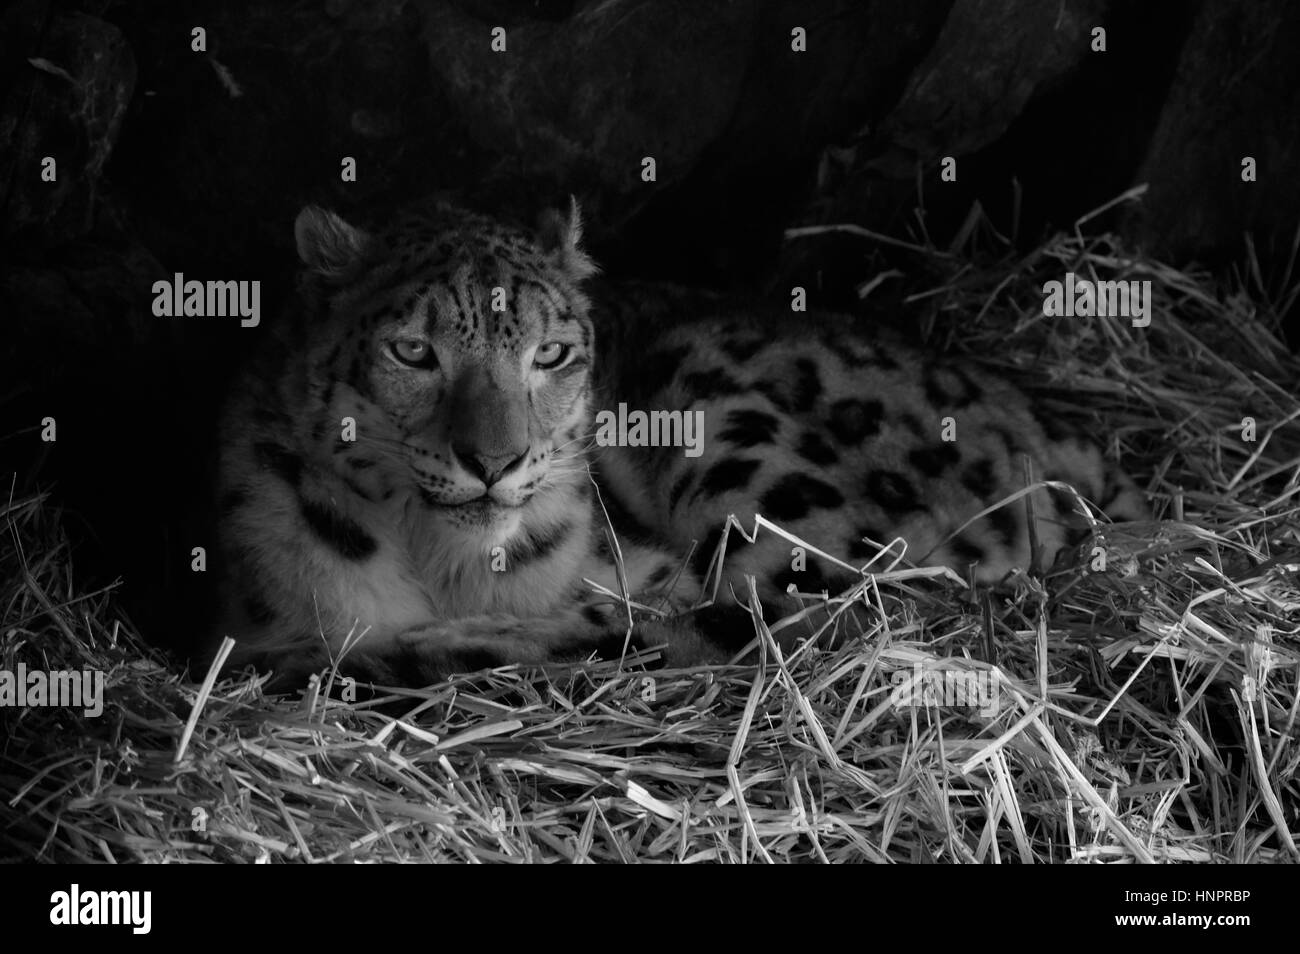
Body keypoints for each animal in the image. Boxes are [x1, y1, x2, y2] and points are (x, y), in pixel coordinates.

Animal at [212, 197, 1146, 687]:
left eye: (549, 353)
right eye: (412, 351)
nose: (494, 462)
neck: (445, 566)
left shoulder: (651, 571)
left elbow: (645, 617)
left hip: (748, 450)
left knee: (855, 612)